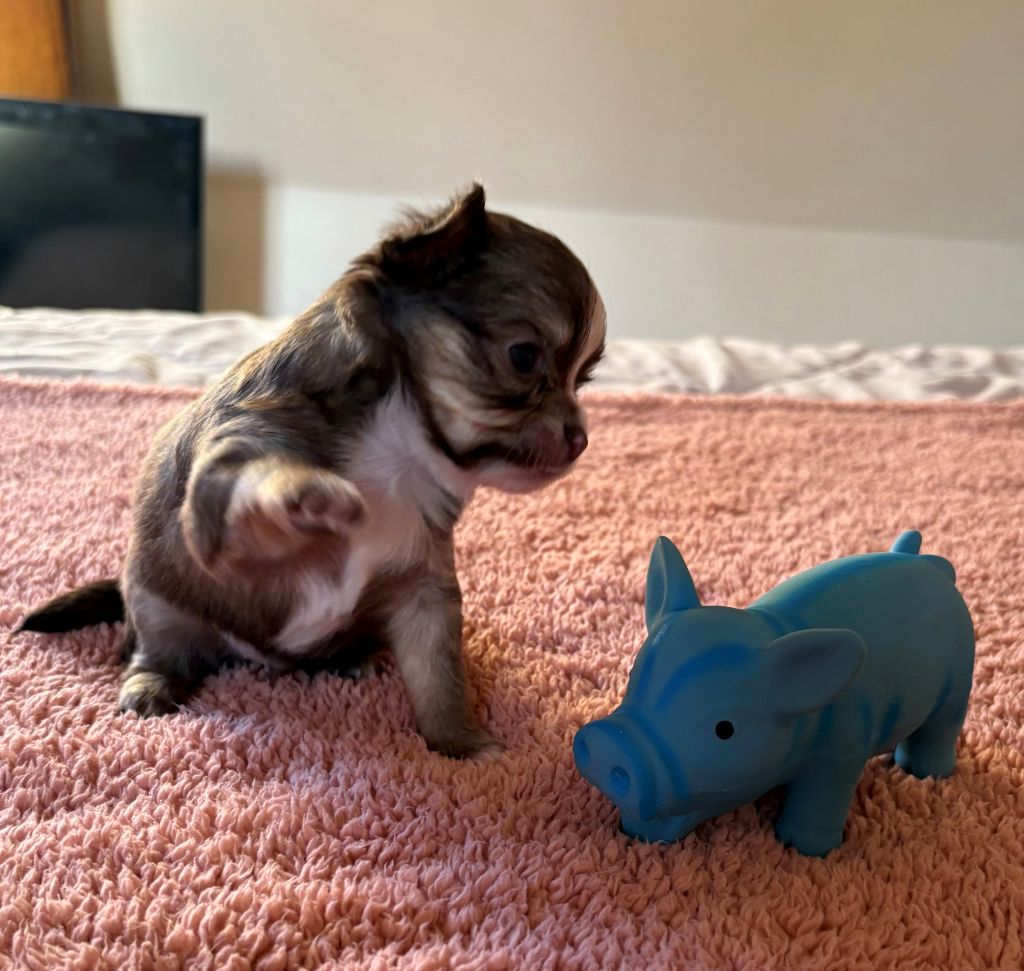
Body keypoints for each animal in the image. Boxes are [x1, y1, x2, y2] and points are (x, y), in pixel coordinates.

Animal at [20, 184, 606, 759]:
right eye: (524, 357)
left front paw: (463, 746)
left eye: (583, 381)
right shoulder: (229, 472)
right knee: (161, 650)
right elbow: (258, 485)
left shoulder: (424, 590)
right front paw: (306, 494)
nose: (580, 439)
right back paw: (151, 685)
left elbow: (439, 678)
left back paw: (349, 657)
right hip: (158, 602)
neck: (398, 446)